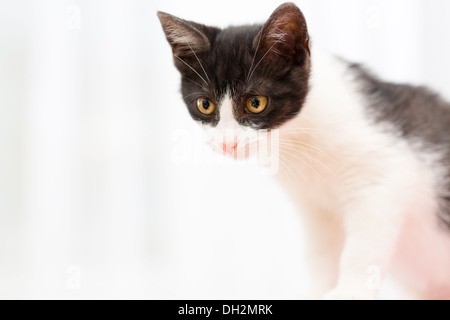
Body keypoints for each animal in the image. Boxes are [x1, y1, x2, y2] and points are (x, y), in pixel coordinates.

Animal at [156, 2, 450, 298]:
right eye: (205, 105)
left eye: (255, 102)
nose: (229, 143)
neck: (298, 138)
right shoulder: (315, 209)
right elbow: (319, 254)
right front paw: (319, 290)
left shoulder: (384, 177)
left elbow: (362, 248)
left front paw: (350, 290)